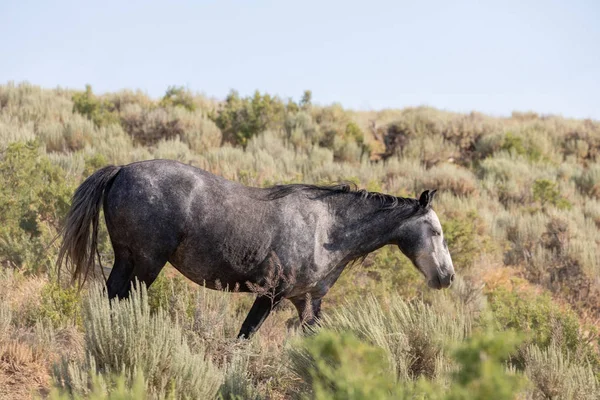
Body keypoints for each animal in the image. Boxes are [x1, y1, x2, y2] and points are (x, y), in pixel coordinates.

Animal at [57, 159, 454, 338]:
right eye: (435, 231)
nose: (447, 277)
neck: (327, 228)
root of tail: (122, 169)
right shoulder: (270, 295)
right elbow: (244, 337)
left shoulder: (307, 301)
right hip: (146, 264)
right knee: (121, 300)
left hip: (126, 260)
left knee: (110, 298)